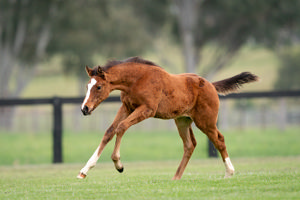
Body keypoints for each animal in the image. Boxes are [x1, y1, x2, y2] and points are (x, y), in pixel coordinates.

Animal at [77, 56, 258, 180]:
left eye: (99, 87)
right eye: (87, 86)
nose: (85, 109)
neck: (137, 79)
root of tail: (211, 85)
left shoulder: (147, 109)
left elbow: (121, 127)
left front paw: (118, 165)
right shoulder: (127, 107)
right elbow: (109, 132)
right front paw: (84, 171)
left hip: (205, 121)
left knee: (219, 140)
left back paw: (229, 172)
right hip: (182, 121)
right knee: (190, 145)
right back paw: (176, 178)